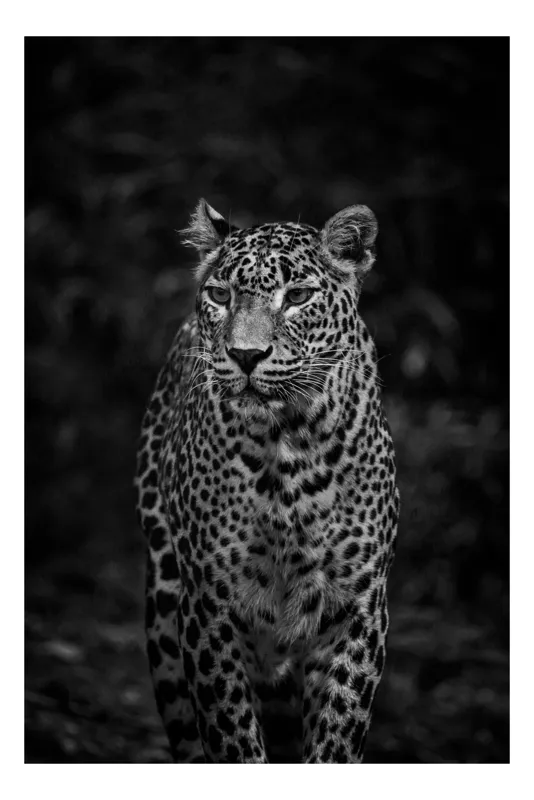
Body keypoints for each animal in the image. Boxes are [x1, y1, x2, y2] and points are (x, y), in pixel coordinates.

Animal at [134, 199, 400, 763]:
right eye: (220, 295)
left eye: (297, 297)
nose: (245, 355)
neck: (287, 445)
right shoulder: (208, 609)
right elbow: (232, 736)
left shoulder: (358, 611)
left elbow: (336, 737)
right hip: (165, 605)